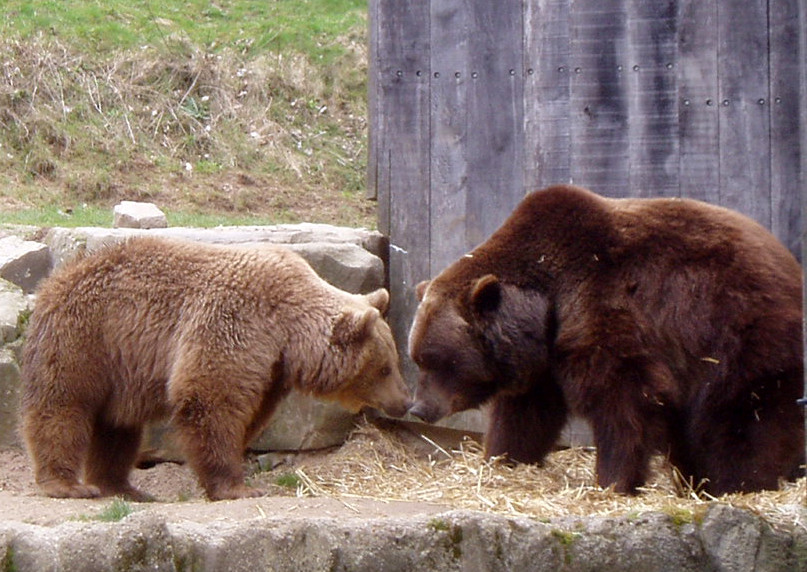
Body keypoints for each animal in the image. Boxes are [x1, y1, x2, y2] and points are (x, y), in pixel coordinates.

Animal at [20, 237, 410, 500]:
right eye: (385, 368)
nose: (405, 402)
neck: (286, 332)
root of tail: (56, 278)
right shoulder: (235, 320)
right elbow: (210, 399)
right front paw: (237, 487)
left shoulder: (270, 368)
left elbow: (249, 414)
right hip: (85, 338)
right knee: (63, 406)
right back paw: (66, 484)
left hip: (119, 366)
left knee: (118, 428)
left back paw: (123, 486)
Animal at [414, 184, 804, 496]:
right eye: (418, 358)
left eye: (438, 360)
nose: (418, 409)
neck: (547, 300)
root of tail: (790, 264)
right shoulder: (545, 358)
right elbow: (525, 413)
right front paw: (502, 460)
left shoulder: (607, 312)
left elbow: (623, 401)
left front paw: (612, 481)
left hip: (740, 333)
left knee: (742, 417)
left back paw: (739, 483)